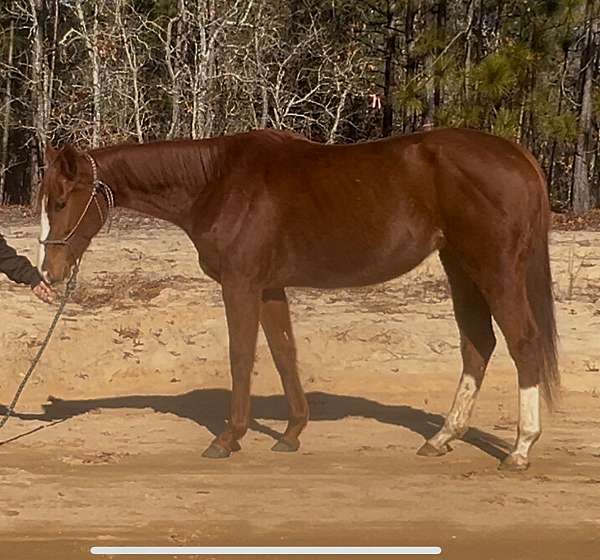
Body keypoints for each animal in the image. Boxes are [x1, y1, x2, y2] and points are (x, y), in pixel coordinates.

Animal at [39, 129, 556, 470]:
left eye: (60, 201)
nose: (49, 272)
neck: (218, 182)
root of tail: (515, 152)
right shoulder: (269, 287)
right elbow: (284, 352)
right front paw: (291, 434)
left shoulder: (241, 284)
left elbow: (241, 355)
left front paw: (229, 438)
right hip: (460, 267)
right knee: (477, 345)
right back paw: (443, 437)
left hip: (494, 268)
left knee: (523, 342)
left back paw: (521, 449)